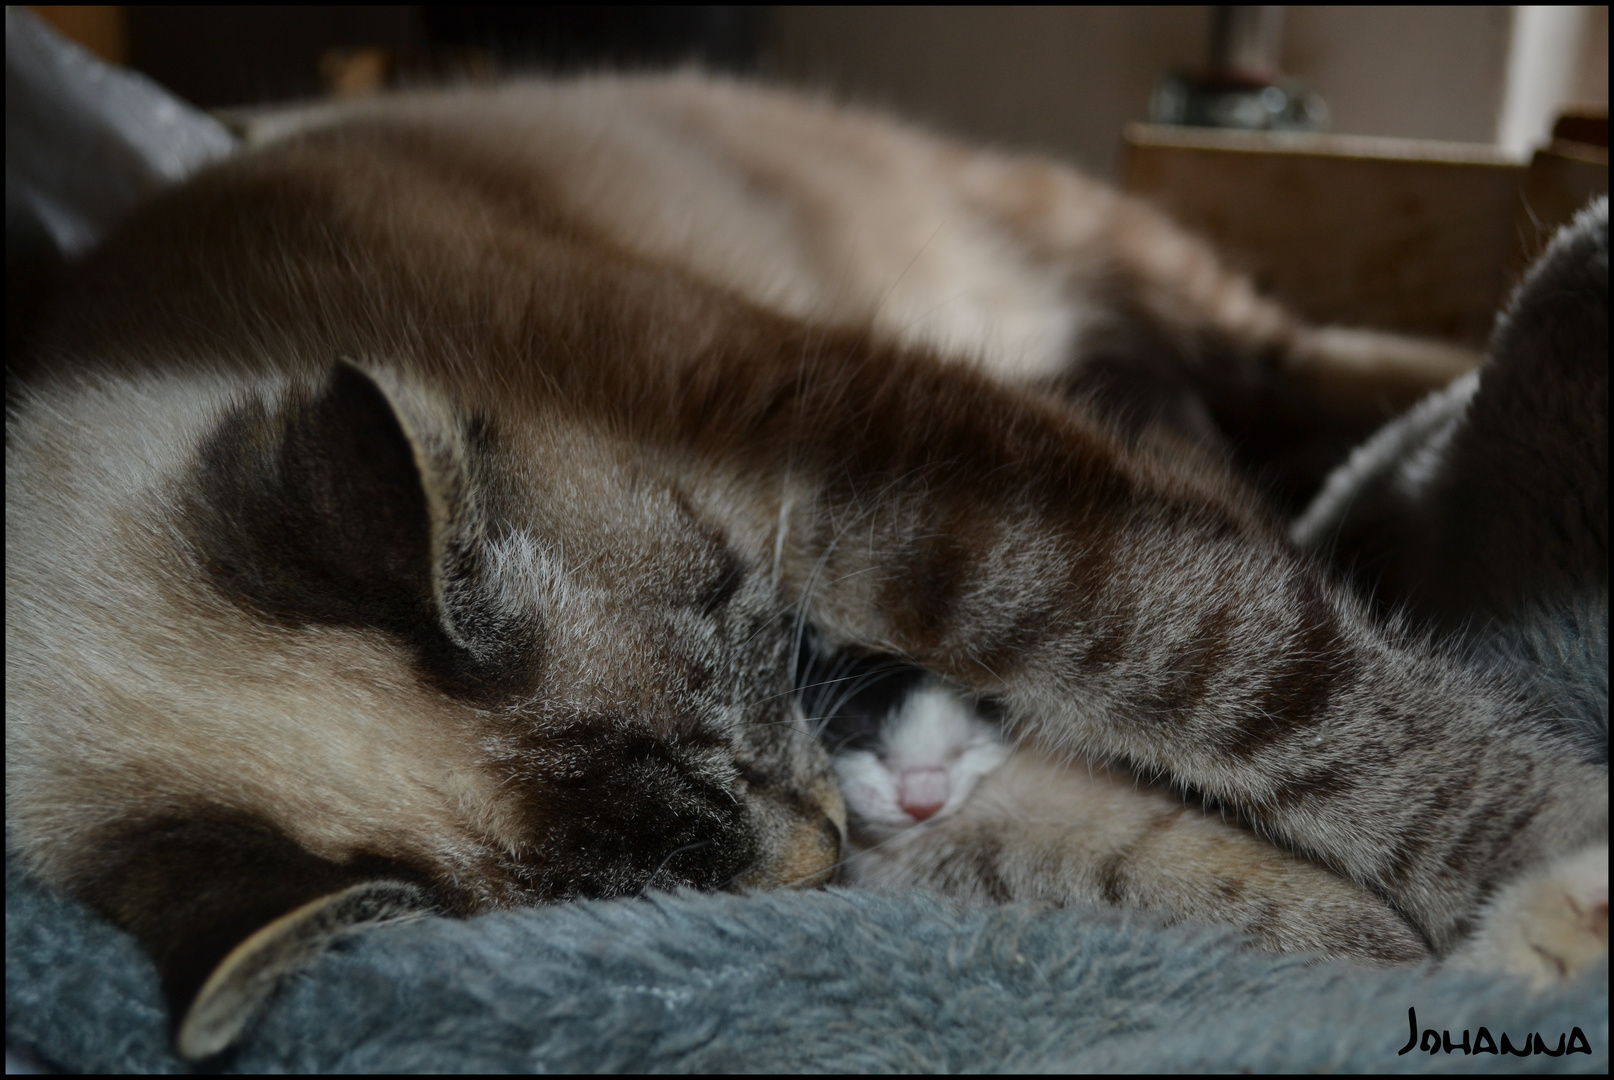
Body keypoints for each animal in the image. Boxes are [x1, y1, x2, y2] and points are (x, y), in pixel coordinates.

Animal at [9, 75, 1601, 1059]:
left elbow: (1276, 697)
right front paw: (1380, 954)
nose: (826, 846)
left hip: (1108, 275)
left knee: (1308, 353)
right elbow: (1143, 849)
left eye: (743, 630)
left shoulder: (890, 481)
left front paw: (1551, 896)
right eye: (671, 895)